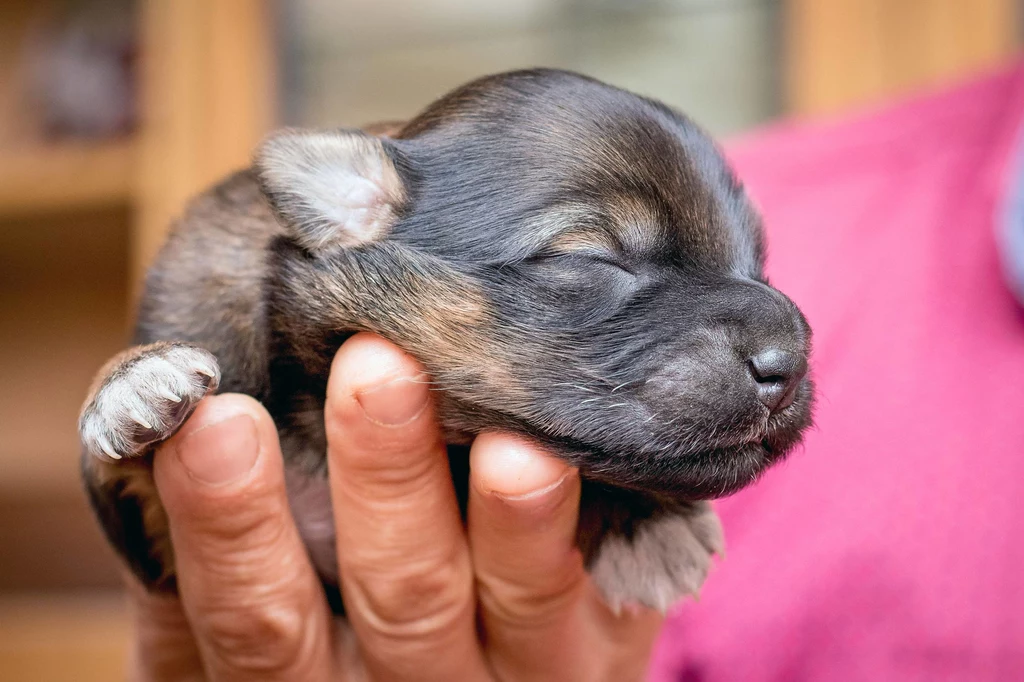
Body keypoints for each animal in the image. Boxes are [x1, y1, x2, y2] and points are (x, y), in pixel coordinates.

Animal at [77, 69, 815, 610]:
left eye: (758, 264)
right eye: (593, 257)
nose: (791, 362)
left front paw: (648, 523)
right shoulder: (155, 557)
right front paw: (132, 384)